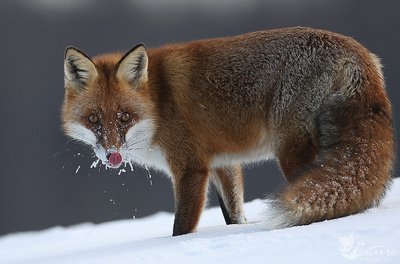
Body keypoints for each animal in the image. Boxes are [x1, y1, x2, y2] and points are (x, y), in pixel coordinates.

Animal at [62, 27, 394, 235]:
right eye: (93, 119)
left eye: (124, 117)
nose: (112, 155)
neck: (157, 103)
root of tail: (357, 52)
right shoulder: (224, 162)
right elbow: (233, 215)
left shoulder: (191, 167)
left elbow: (181, 228)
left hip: (289, 150)